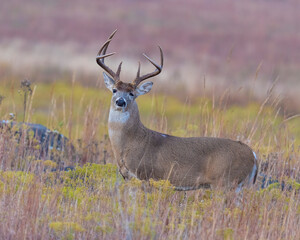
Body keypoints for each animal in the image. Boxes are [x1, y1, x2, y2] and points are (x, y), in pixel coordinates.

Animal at [96, 30, 258, 191]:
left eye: (132, 93)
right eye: (114, 90)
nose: (120, 101)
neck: (129, 144)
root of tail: (254, 155)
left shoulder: (146, 176)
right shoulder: (128, 178)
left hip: (225, 182)